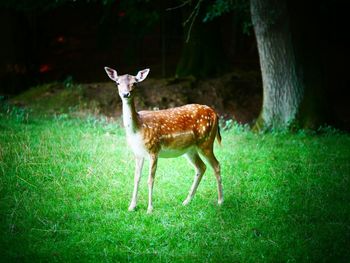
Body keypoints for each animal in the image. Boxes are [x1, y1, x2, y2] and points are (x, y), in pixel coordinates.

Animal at [104, 67, 224, 213]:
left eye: (135, 83)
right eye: (117, 82)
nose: (126, 94)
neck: (138, 128)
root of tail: (215, 113)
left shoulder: (154, 149)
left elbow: (150, 179)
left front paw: (150, 209)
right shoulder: (138, 153)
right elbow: (136, 178)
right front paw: (132, 206)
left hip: (206, 141)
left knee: (216, 165)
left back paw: (220, 201)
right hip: (190, 149)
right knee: (201, 167)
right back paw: (186, 201)